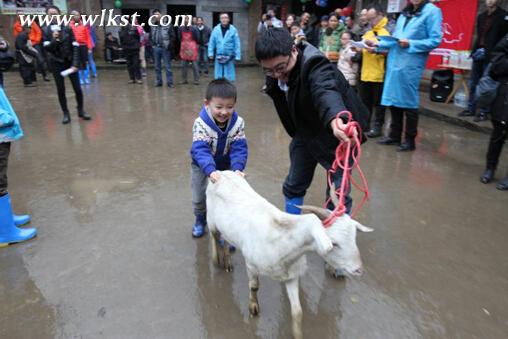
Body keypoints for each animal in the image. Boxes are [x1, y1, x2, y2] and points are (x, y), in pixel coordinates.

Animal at [206, 173, 374, 339]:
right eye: (334, 243)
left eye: (354, 237)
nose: (359, 270)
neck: (281, 241)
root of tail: (222, 173)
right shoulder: (251, 264)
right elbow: (254, 286)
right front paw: (253, 308)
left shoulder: (291, 275)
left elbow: (297, 311)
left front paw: (297, 333)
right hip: (211, 221)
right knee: (214, 236)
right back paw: (216, 259)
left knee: (225, 239)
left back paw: (228, 262)